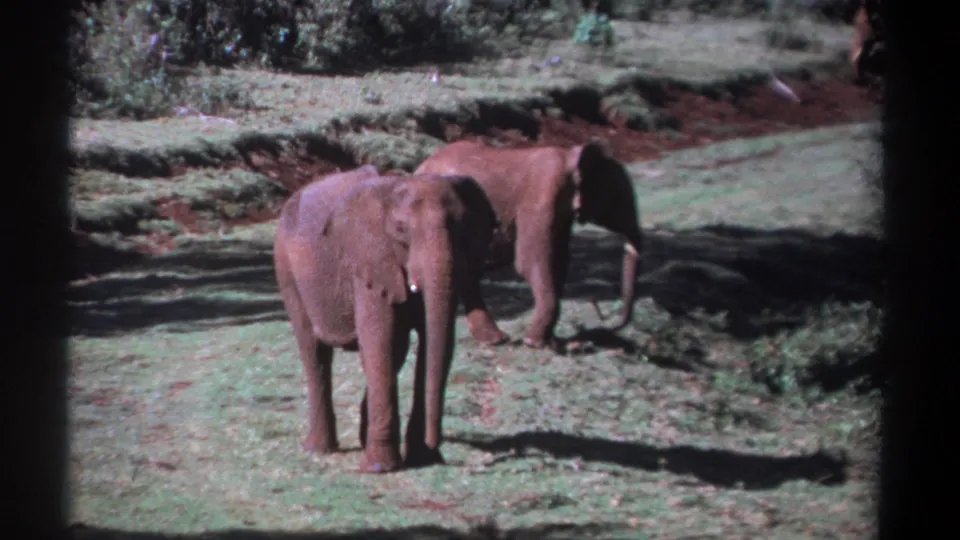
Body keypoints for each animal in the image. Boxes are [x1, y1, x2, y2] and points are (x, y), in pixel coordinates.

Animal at [273, 166, 497, 473]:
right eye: (401, 230)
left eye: (464, 226)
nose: (436, 445)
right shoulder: (369, 261)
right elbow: (380, 340)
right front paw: (380, 468)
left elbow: (423, 341)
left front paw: (421, 458)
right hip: (286, 268)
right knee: (314, 350)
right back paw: (318, 449)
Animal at [414, 139, 645, 350]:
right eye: (618, 199)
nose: (606, 324)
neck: (570, 157)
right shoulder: (542, 195)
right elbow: (531, 261)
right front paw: (535, 343)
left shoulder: (562, 214)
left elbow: (559, 261)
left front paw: (551, 343)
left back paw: (495, 340)